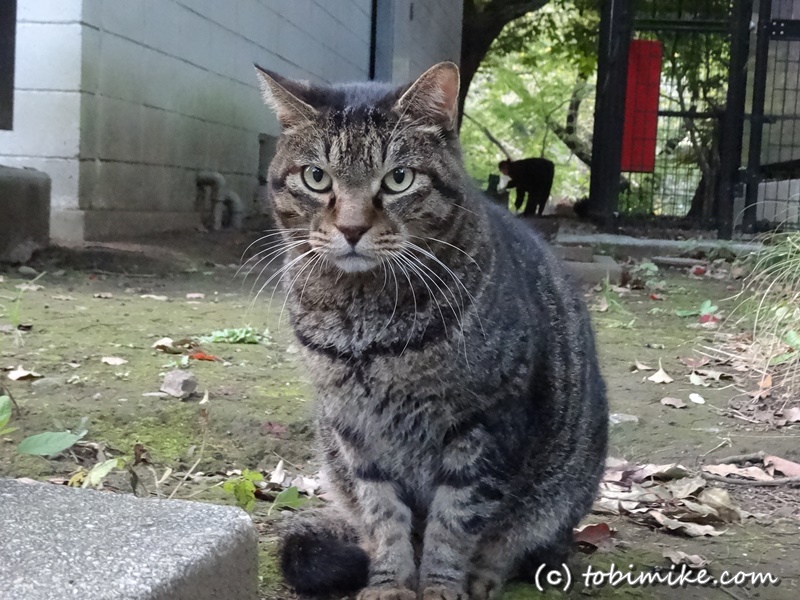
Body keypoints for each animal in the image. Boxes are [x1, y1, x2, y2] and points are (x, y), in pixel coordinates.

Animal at [256, 62, 608, 600]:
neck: (366, 325)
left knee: (523, 540)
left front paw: (441, 584)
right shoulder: (356, 430)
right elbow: (382, 516)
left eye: (398, 179)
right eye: (316, 178)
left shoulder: (483, 424)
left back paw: (486, 573)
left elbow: (455, 521)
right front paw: (389, 582)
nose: (352, 228)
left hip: (562, 491)